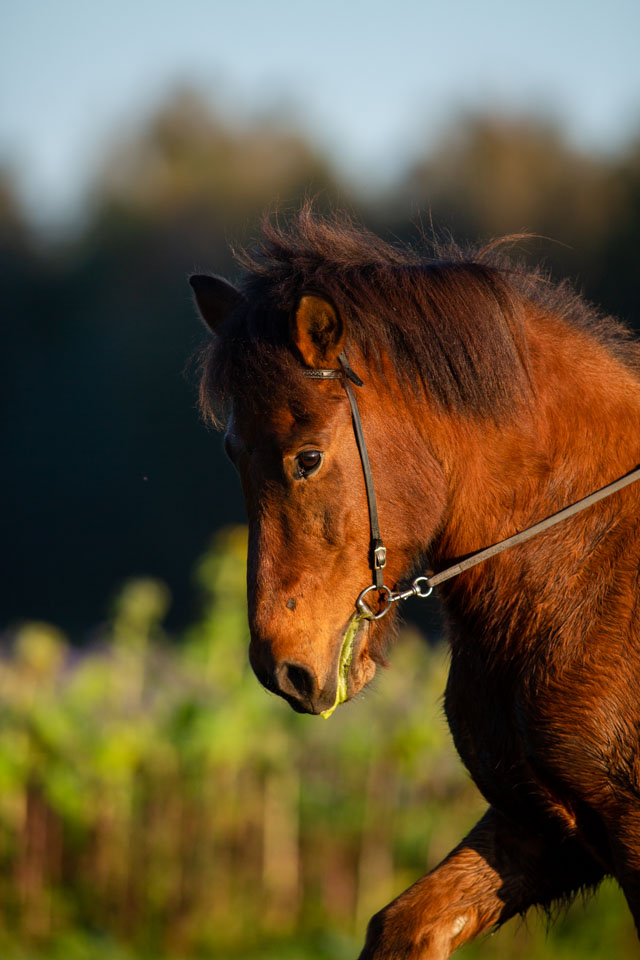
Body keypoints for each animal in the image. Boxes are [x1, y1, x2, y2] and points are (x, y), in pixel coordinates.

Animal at [190, 206, 640, 956]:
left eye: (307, 458)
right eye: (232, 453)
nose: (284, 670)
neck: (587, 563)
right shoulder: (540, 827)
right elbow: (403, 925)